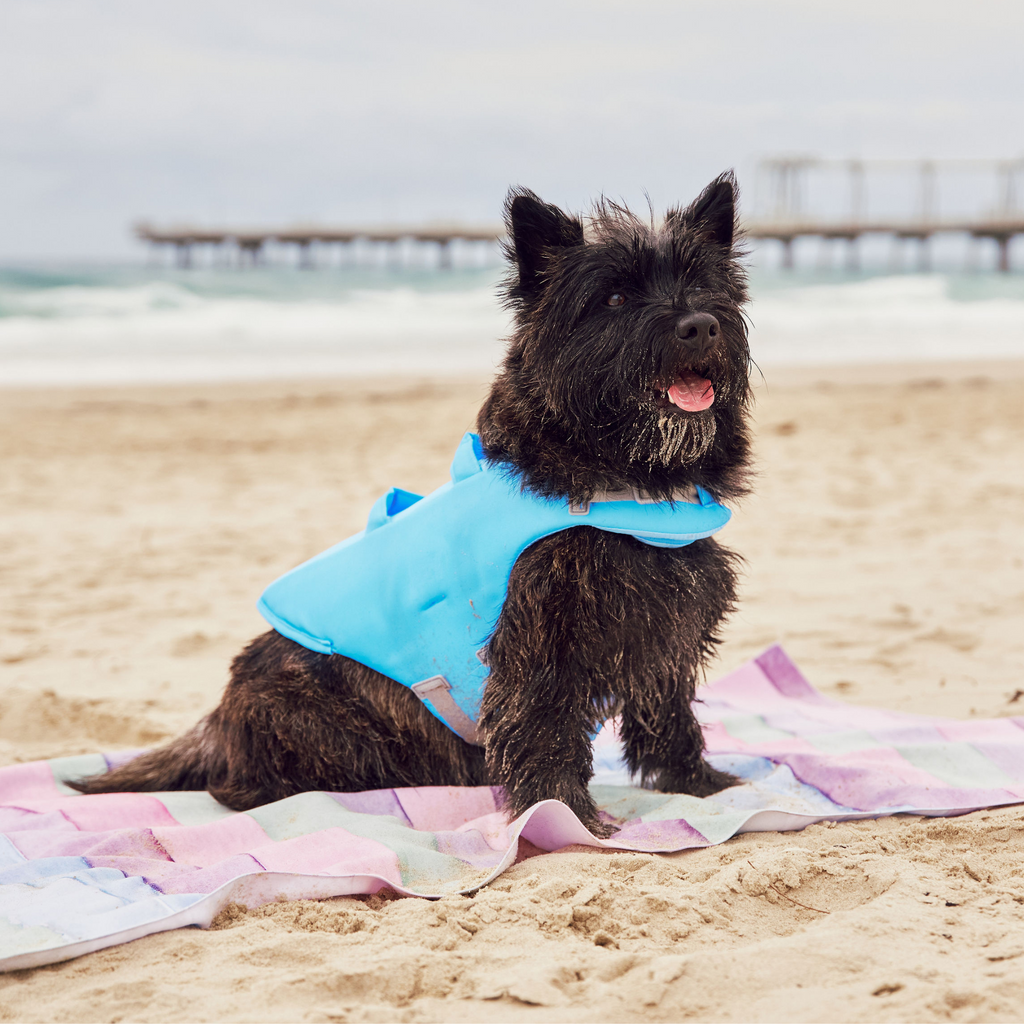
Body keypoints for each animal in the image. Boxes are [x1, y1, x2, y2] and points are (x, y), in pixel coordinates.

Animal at [75, 172, 753, 835]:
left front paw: (698, 782)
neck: (617, 472)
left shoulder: (664, 626)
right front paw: (568, 815)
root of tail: (217, 723)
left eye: (701, 282)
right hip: (315, 720)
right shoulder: (543, 639)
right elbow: (544, 723)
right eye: (613, 298)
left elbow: (667, 711)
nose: (699, 326)